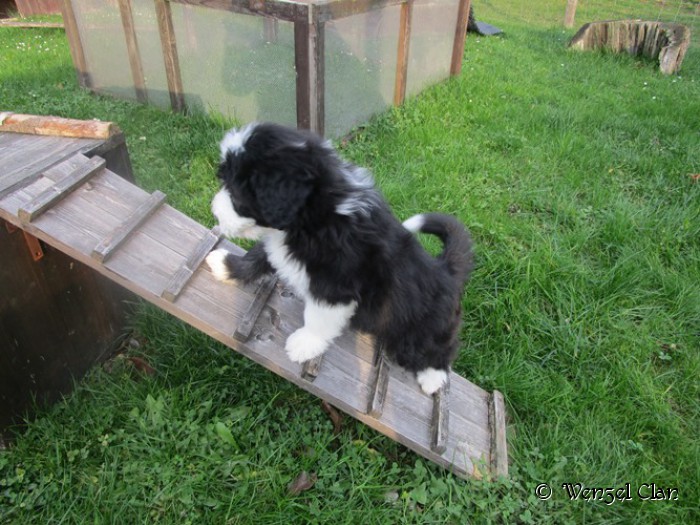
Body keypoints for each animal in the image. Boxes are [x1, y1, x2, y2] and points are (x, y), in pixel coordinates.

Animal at [205, 123, 473, 395]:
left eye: (236, 194)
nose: (214, 210)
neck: (314, 217)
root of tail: (446, 270)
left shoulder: (335, 284)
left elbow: (318, 316)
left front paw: (304, 343)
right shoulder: (281, 247)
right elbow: (258, 256)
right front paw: (226, 265)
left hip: (425, 328)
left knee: (443, 348)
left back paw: (433, 377)